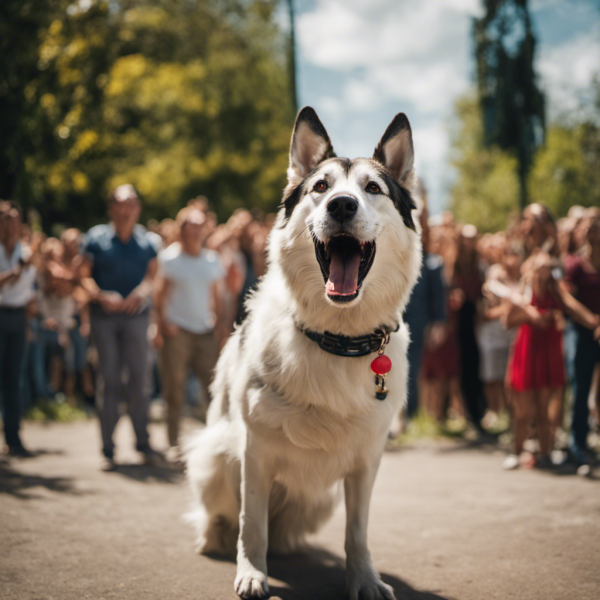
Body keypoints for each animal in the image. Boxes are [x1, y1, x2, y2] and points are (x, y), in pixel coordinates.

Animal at [186, 105, 422, 596]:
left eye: (373, 189)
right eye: (321, 187)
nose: (342, 205)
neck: (338, 338)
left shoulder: (366, 463)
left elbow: (358, 532)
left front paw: (364, 579)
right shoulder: (254, 454)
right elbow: (251, 524)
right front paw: (252, 573)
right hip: (216, 454)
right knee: (225, 514)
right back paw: (216, 537)